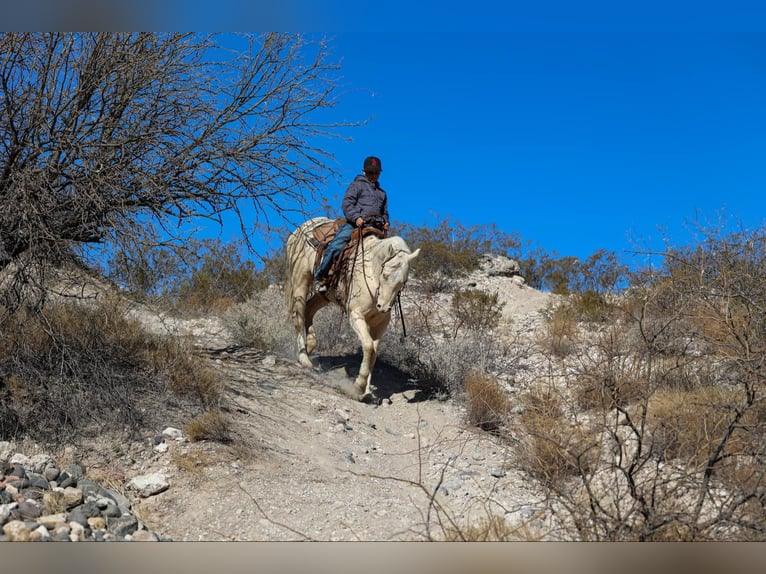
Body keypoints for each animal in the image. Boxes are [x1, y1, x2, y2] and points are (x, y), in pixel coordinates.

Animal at [285, 217, 420, 401]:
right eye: (385, 275)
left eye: (403, 282)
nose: (383, 307)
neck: (371, 275)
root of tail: (299, 230)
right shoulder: (356, 315)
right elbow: (368, 346)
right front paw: (358, 387)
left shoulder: (379, 325)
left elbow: (373, 353)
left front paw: (367, 391)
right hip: (300, 281)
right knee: (298, 314)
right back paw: (304, 358)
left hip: (324, 295)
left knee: (309, 310)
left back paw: (310, 345)